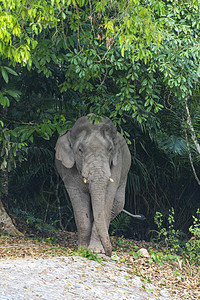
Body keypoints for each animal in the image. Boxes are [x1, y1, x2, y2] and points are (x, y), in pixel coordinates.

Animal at [54, 116, 142, 256]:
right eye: (80, 150)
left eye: (110, 149)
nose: (109, 253)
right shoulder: (67, 170)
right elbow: (78, 200)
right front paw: (83, 249)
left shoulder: (116, 166)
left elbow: (107, 199)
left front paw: (96, 250)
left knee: (117, 204)